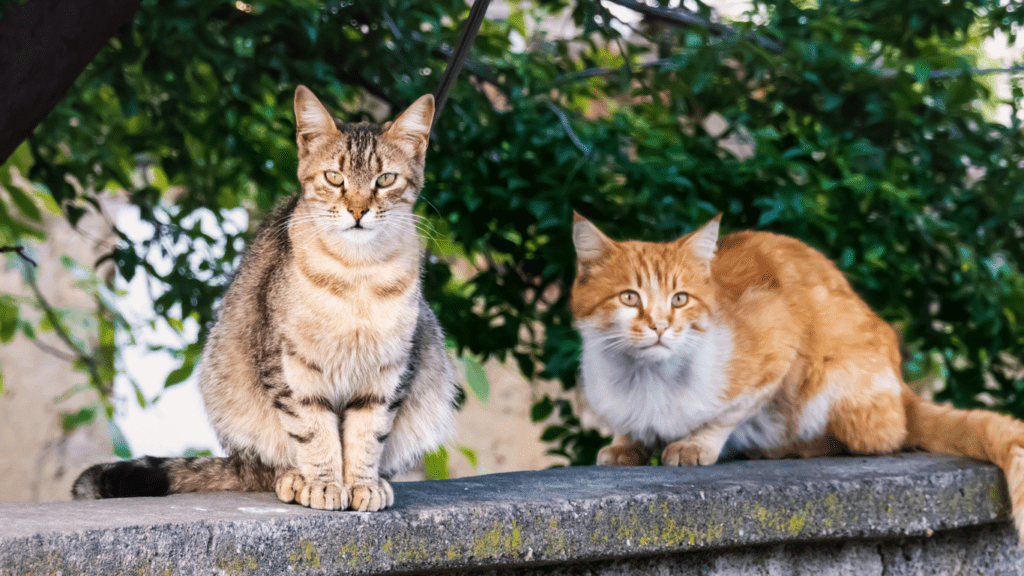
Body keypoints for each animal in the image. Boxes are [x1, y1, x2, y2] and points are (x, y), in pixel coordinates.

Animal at [77, 86, 462, 510]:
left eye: (385, 179)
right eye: (334, 177)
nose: (358, 211)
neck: (356, 272)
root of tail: (239, 462)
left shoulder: (390, 369)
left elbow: (367, 433)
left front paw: (361, 483)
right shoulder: (289, 366)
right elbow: (314, 431)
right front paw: (324, 482)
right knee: (270, 466)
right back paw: (292, 477)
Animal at [573, 211, 1024, 537]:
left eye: (680, 299)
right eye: (629, 297)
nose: (660, 325)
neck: (646, 378)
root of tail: (903, 388)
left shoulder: (779, 344)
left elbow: (727, 413)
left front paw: (695, 444)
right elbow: (631, 428)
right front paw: (627, 444)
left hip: (835, 377)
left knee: (874, 440)